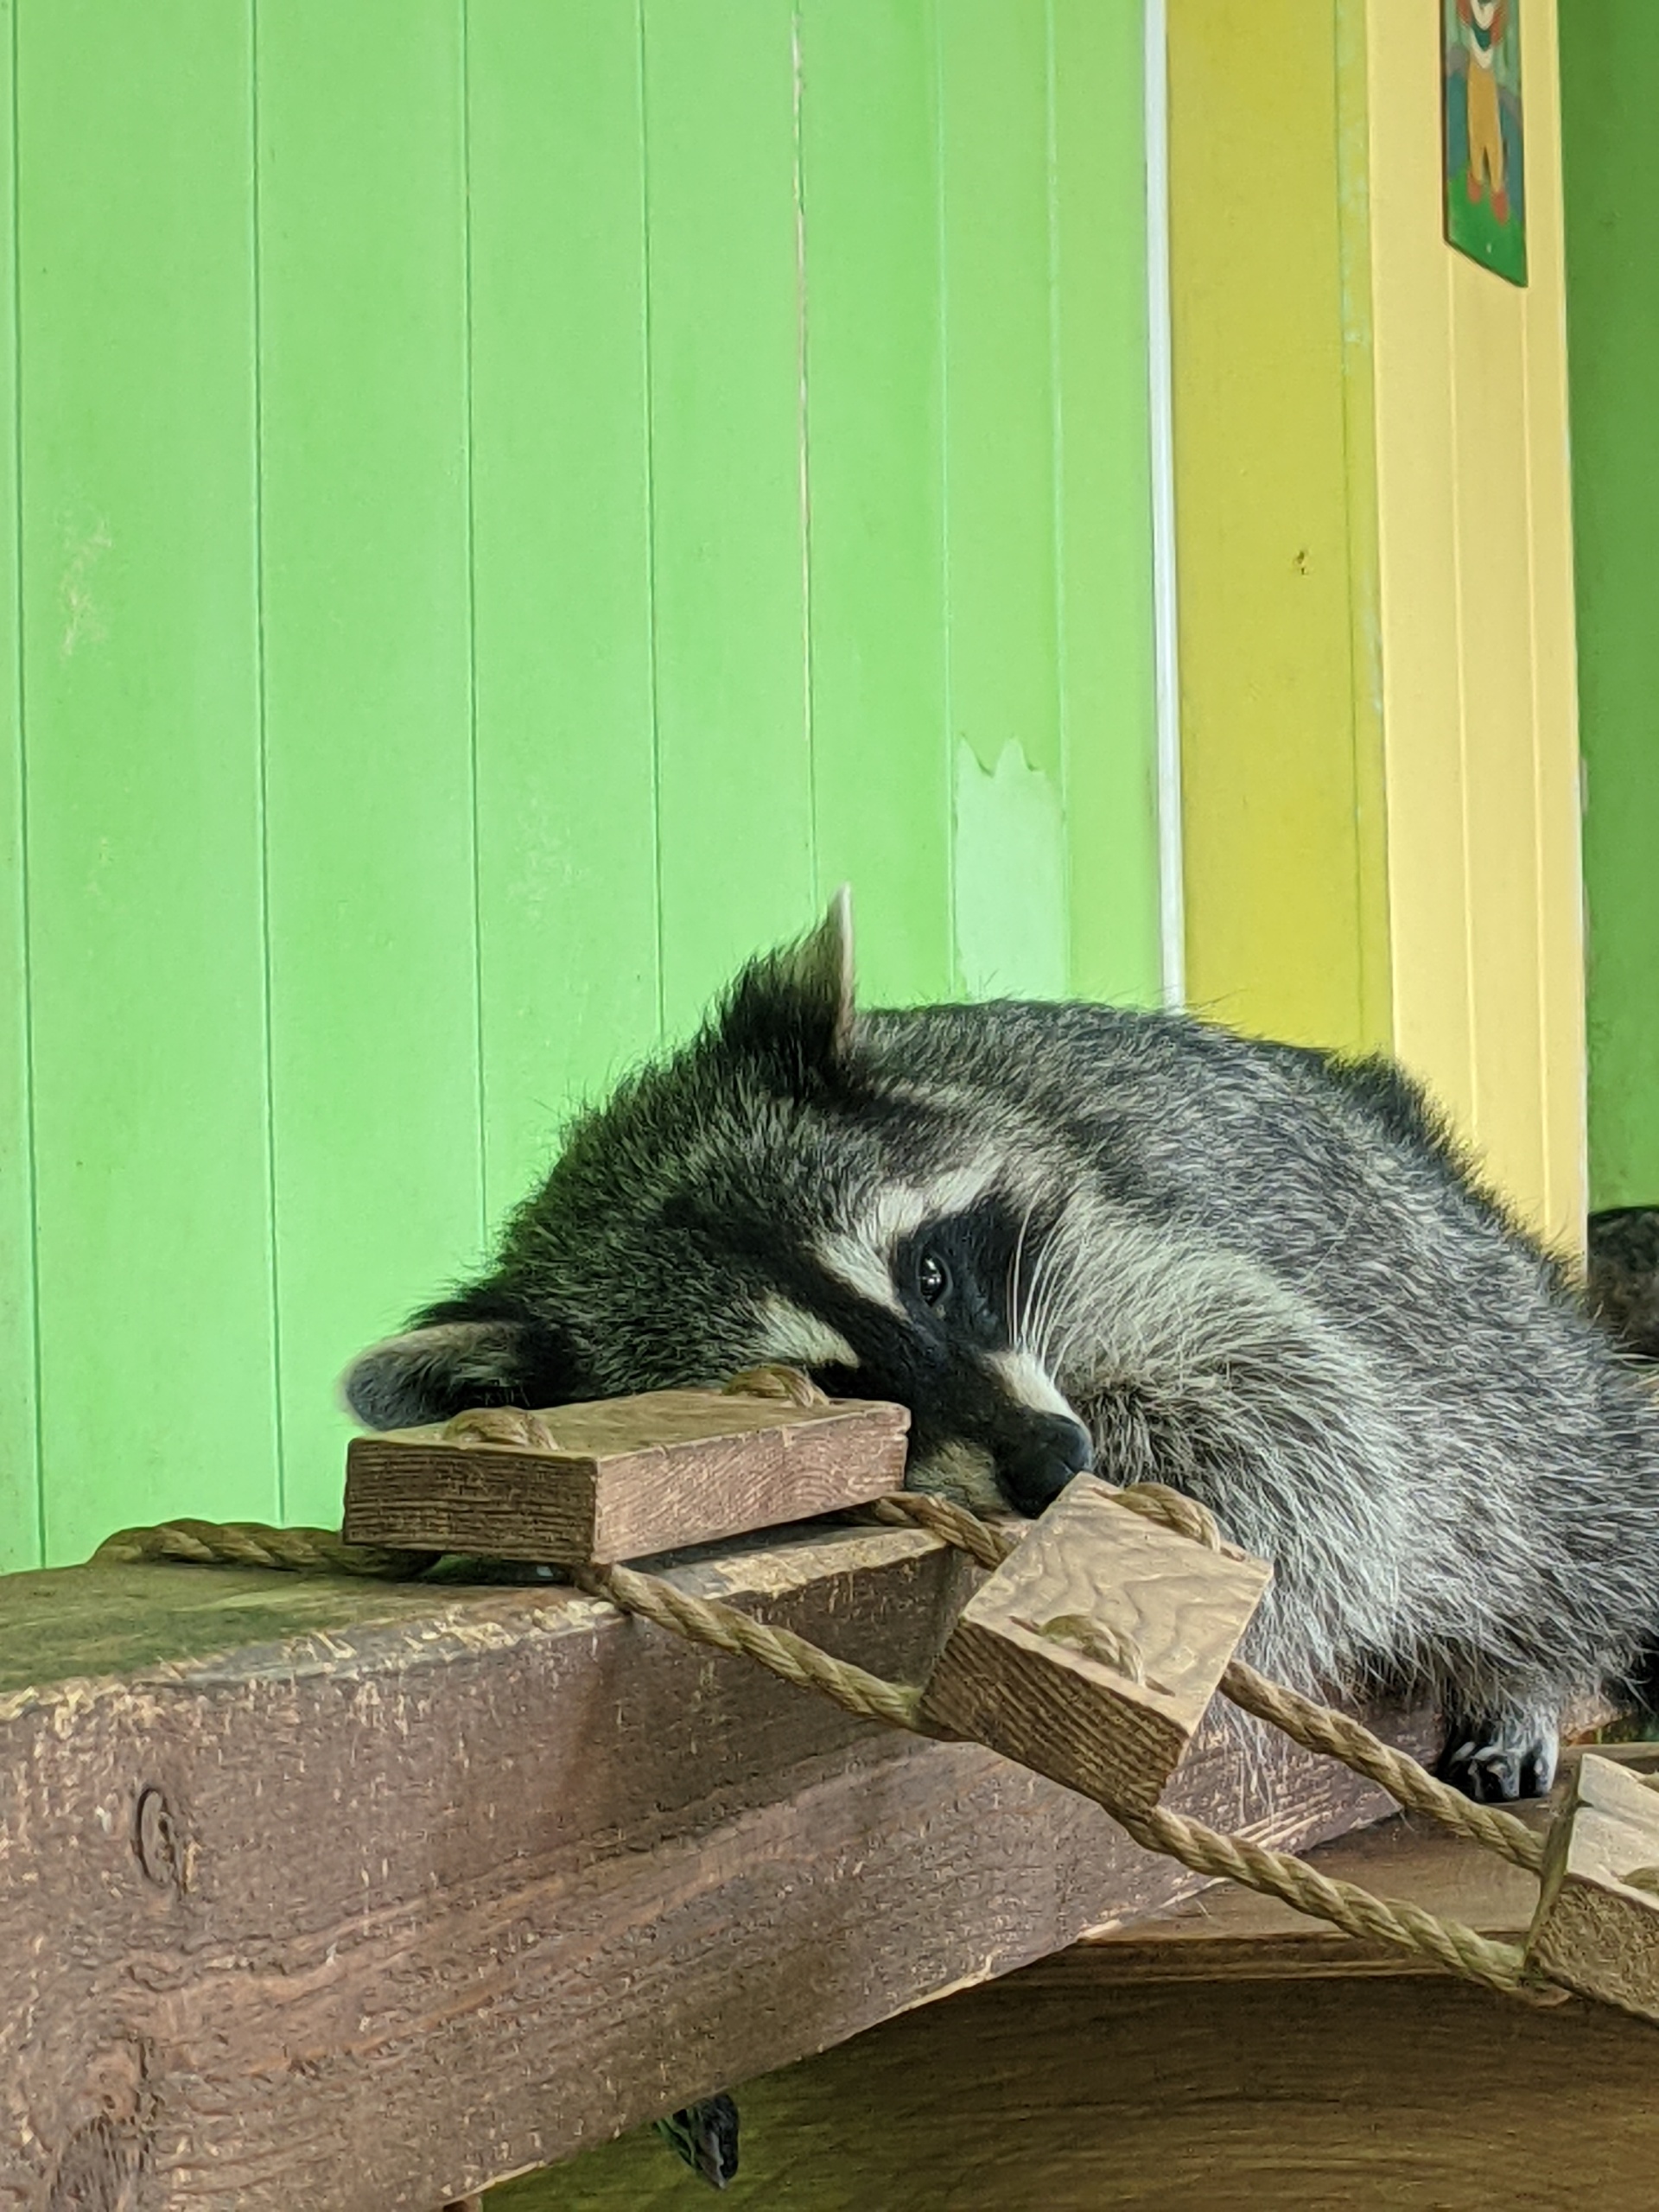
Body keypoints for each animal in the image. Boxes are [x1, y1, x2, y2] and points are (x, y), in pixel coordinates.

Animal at [345, 889, 1659, 1804]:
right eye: (828, 1391)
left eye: (928, 1275)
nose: (1051, 1460)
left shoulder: (1121, 1228)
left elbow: (1299, 1404)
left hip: (1486, 1327)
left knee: (1529, 1469)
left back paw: (1539, 1651)